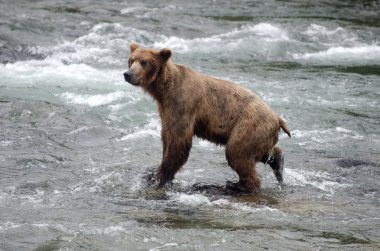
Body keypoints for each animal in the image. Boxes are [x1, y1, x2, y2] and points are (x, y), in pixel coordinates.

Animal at [123, 43, 290, 193]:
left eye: (144, 62)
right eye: (131, 60)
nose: (127, 74)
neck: (164, 91)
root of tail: (277, 118)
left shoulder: (184, 105)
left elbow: (179, 142)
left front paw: (160, 177)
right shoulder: (166, 111)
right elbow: (167, 137)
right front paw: (152, 174)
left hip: (249, 124)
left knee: (237, 152)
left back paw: (238, 186)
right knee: (258, 152)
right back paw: (277, 163)